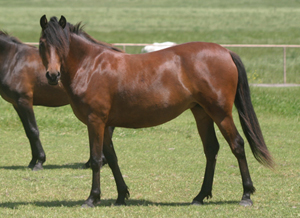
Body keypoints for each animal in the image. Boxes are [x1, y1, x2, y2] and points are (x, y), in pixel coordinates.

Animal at [0, 30, 112, 170]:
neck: (13, 60)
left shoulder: (24, 101)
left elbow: (33, 130)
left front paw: (39, 161)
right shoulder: (16, 104)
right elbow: (28, 132)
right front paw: (33, 161)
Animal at [38, 15, 274, 208]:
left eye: (61, 43)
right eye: (42, 43)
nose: (52, 75)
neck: (91, 66)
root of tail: (226, 51)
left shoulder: (95, 121)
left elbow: (96, 159)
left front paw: (92, 198)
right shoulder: (104, 124)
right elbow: (112, 158)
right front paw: (121, 195)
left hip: (221, 113)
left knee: (237, 145)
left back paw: (246, 195)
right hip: (202, 113)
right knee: (211, 149)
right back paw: (200, 196)